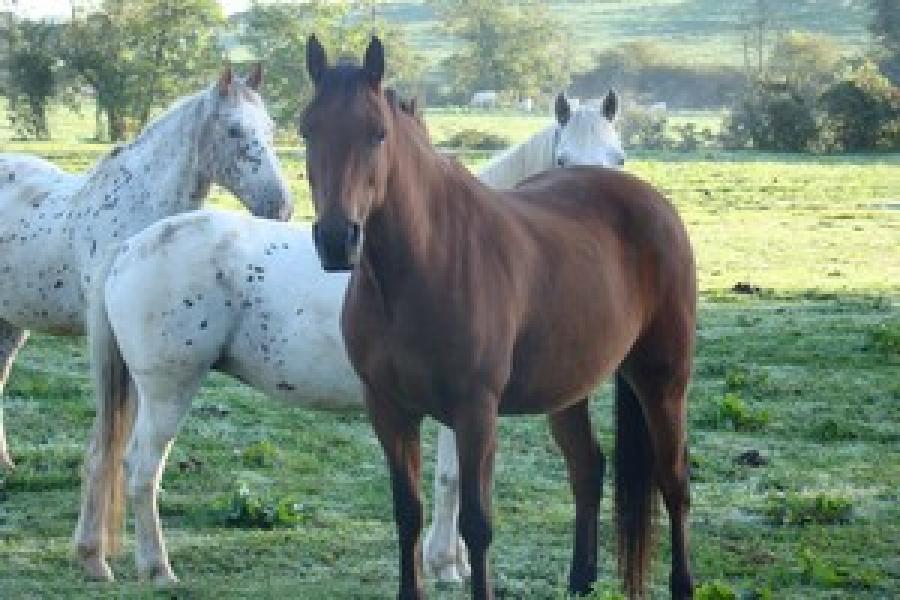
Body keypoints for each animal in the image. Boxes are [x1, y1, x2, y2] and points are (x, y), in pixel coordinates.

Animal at [77, 91, 624, 584]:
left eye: (619, 156)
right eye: (562, 158)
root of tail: (131, 245)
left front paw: (452, 562)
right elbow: (451, 481)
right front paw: (447, 564)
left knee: (104, 456)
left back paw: (94, 558)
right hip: (167, 390)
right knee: (142, 470)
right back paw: (157, 568)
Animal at [300, 35, 696, 596]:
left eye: (378, 133)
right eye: (307, 129)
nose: (337, 240)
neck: (423, 263)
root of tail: (651, 203)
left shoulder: (475, 412)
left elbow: (477, 523)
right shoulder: (389, 409)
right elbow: (407, 514)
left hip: (662, 379)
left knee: (673, 480)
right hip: (567, 388)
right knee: (587, 468)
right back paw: (579, 580)